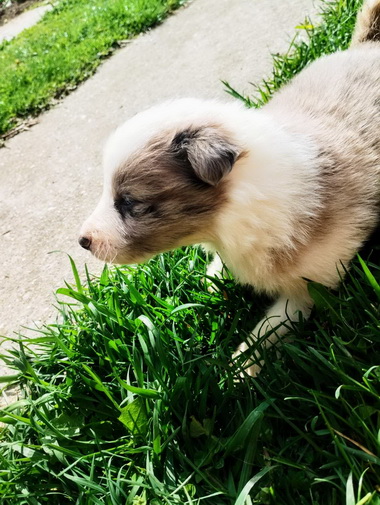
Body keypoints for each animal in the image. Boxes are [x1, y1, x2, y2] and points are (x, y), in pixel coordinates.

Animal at [78, 0, 380, 374]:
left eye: (130, 202)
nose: (82, 240)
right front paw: (209, 277)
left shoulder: (313, 282)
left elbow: (273, 325)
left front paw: (240, 368)